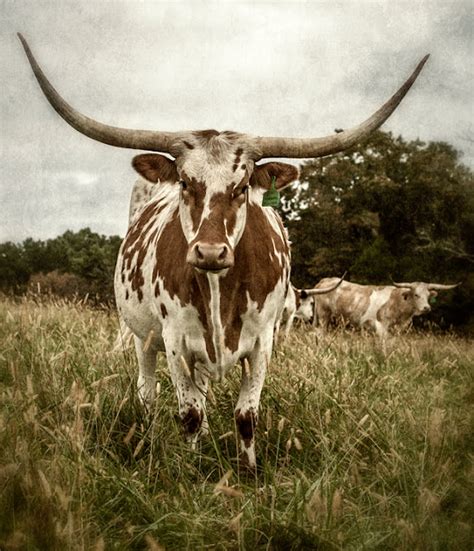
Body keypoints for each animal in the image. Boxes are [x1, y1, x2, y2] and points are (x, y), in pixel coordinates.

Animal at [18, 32, 428, 468]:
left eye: (243, 186)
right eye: (185, 182)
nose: (210, 253)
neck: (219, 293)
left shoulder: (263, 343)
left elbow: (245, 415)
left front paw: (249, 471)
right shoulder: (175, 341)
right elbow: (190, 413)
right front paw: (192, 469)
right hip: (143, 337)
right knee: (148, 393)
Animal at [314, 278, 460, 338]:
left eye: (428, 295)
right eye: (416, 295)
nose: (426, 308)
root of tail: (325, 280)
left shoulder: (398, 329)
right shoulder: (382, 327)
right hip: (323, 316)